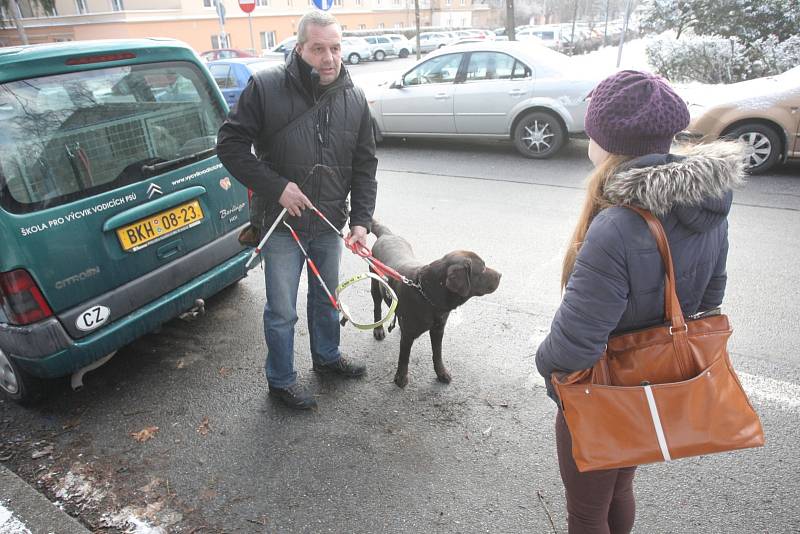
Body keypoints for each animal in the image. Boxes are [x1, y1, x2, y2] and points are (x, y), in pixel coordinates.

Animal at [370, 222, 500, 390]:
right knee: (377, 307)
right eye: (483, 268)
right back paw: (378, 329)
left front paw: (441, 373)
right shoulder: (408, 337)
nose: (501, 275)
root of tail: (387, 234)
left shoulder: (438, 329)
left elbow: (437, 354)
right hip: (374, 284)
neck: (427, 295)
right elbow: (404, 358)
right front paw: (401, 378)